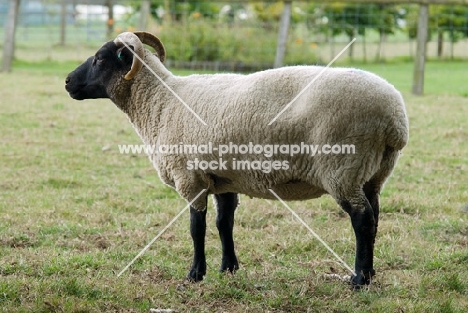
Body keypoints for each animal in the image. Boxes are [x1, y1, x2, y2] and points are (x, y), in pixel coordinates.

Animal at [66, 31, 410, 288]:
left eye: (99, 58)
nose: (67, 82)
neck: (160, 102)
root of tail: (395, 119)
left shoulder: (191, 179)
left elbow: (197, 228)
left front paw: (195, 274)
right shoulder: (224, 178)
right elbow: (224, 223)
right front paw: (228, 268)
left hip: (343, 168)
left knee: (361, 219)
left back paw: (358, 279)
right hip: (373, 173)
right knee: (374, 216)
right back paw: (370, 273)